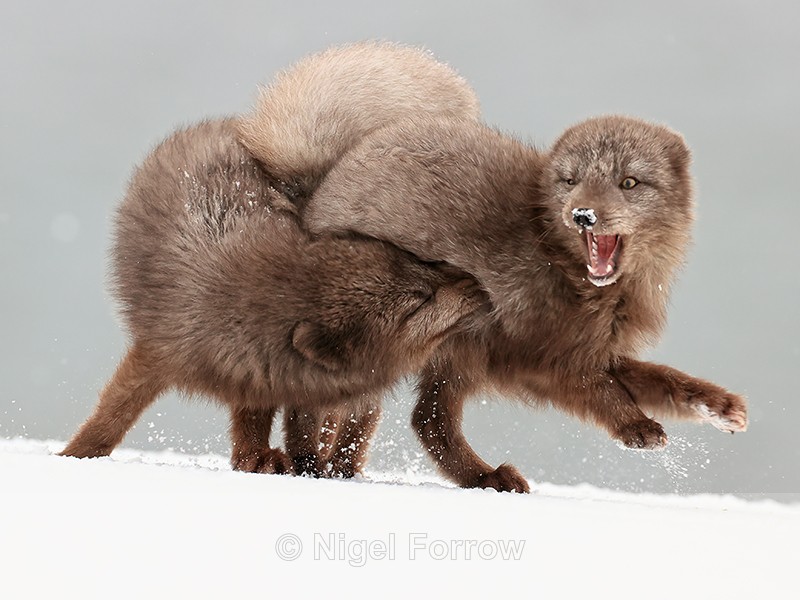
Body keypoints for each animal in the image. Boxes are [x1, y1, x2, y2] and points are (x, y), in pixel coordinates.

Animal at [60, 118, 486, 476]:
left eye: (415, 259)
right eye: (418, 301)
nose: (475, 281)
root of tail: (232, 123)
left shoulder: (262, 378)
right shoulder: (162, 350)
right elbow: (113, 414)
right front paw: (74, 456)